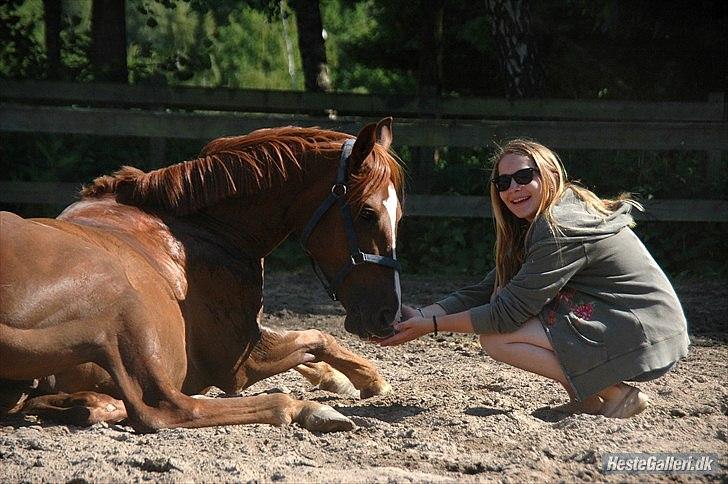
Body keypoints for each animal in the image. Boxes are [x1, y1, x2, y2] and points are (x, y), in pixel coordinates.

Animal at [0, 116, 404, 432]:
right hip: (123, 303)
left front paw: (343, 378)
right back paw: (304, 409)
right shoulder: (239, 362)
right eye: (367, 213)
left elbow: (312, 345)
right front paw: (368, 380)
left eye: (398, 216)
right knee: (166, 408)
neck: (205, 229)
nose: (388, 315)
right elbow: (318, 337)